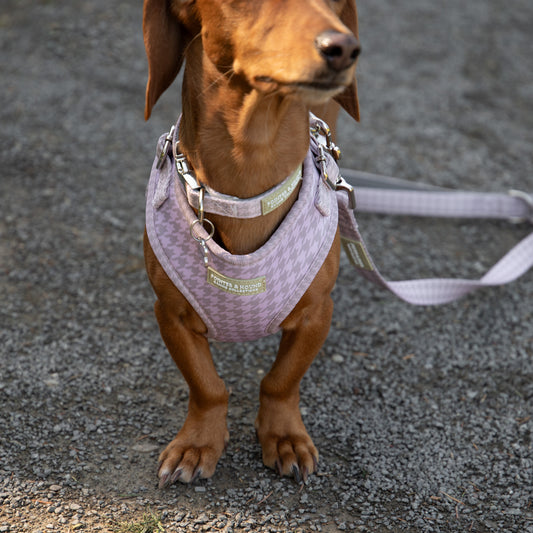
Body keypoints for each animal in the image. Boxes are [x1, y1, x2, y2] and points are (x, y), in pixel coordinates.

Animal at [142, 0, 358, 484]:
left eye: (337, 5)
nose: (343, 47)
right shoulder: (171, 315)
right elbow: (207, 386)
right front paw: (197, 444)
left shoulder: (317, 314)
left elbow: (281, 381)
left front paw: (285, 436)